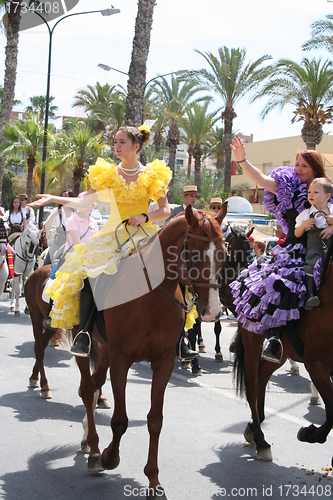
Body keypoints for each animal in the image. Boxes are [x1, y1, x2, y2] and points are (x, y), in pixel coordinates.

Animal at [75, 205, 226, 498]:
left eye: (223, 254)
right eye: (194, 255)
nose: (213, 311)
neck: (150, 297)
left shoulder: (163, 361)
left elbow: (155, 420)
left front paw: (154, 481)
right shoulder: (122, 359)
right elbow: (120, 420)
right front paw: (110, 457)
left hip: (106, 350)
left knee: (95, 385)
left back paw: (89, 441)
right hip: (90, 347)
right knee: (87, 389)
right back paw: (96, 450)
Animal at [232, 236, 332, 462]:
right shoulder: (316, 365)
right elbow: (332, 410)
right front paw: (309, 433)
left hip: (283, 353)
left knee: (261, 378)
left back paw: (254, 428)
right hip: (252, 341)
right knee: (252, 386)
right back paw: (261, 441)